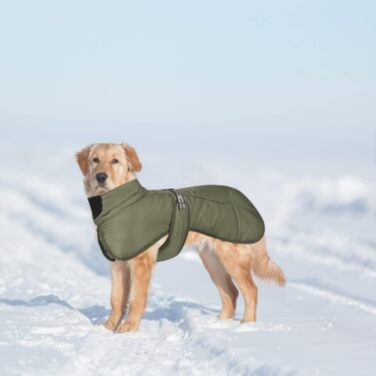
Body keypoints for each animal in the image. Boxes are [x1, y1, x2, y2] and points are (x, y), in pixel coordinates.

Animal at [75, 143, 284, 332]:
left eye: (115, 161)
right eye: (95, 160)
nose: (101, 177)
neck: (118, 204)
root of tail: (246, 199)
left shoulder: (142, 262)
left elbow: (136, 299)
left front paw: (129, 328)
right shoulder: (118, 263)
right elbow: (116, 298)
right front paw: (108, 327)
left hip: (232, 258)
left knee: (251, 290)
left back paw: (246, 326)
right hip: (211, 260)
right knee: (230, 292)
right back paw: (220, 325)